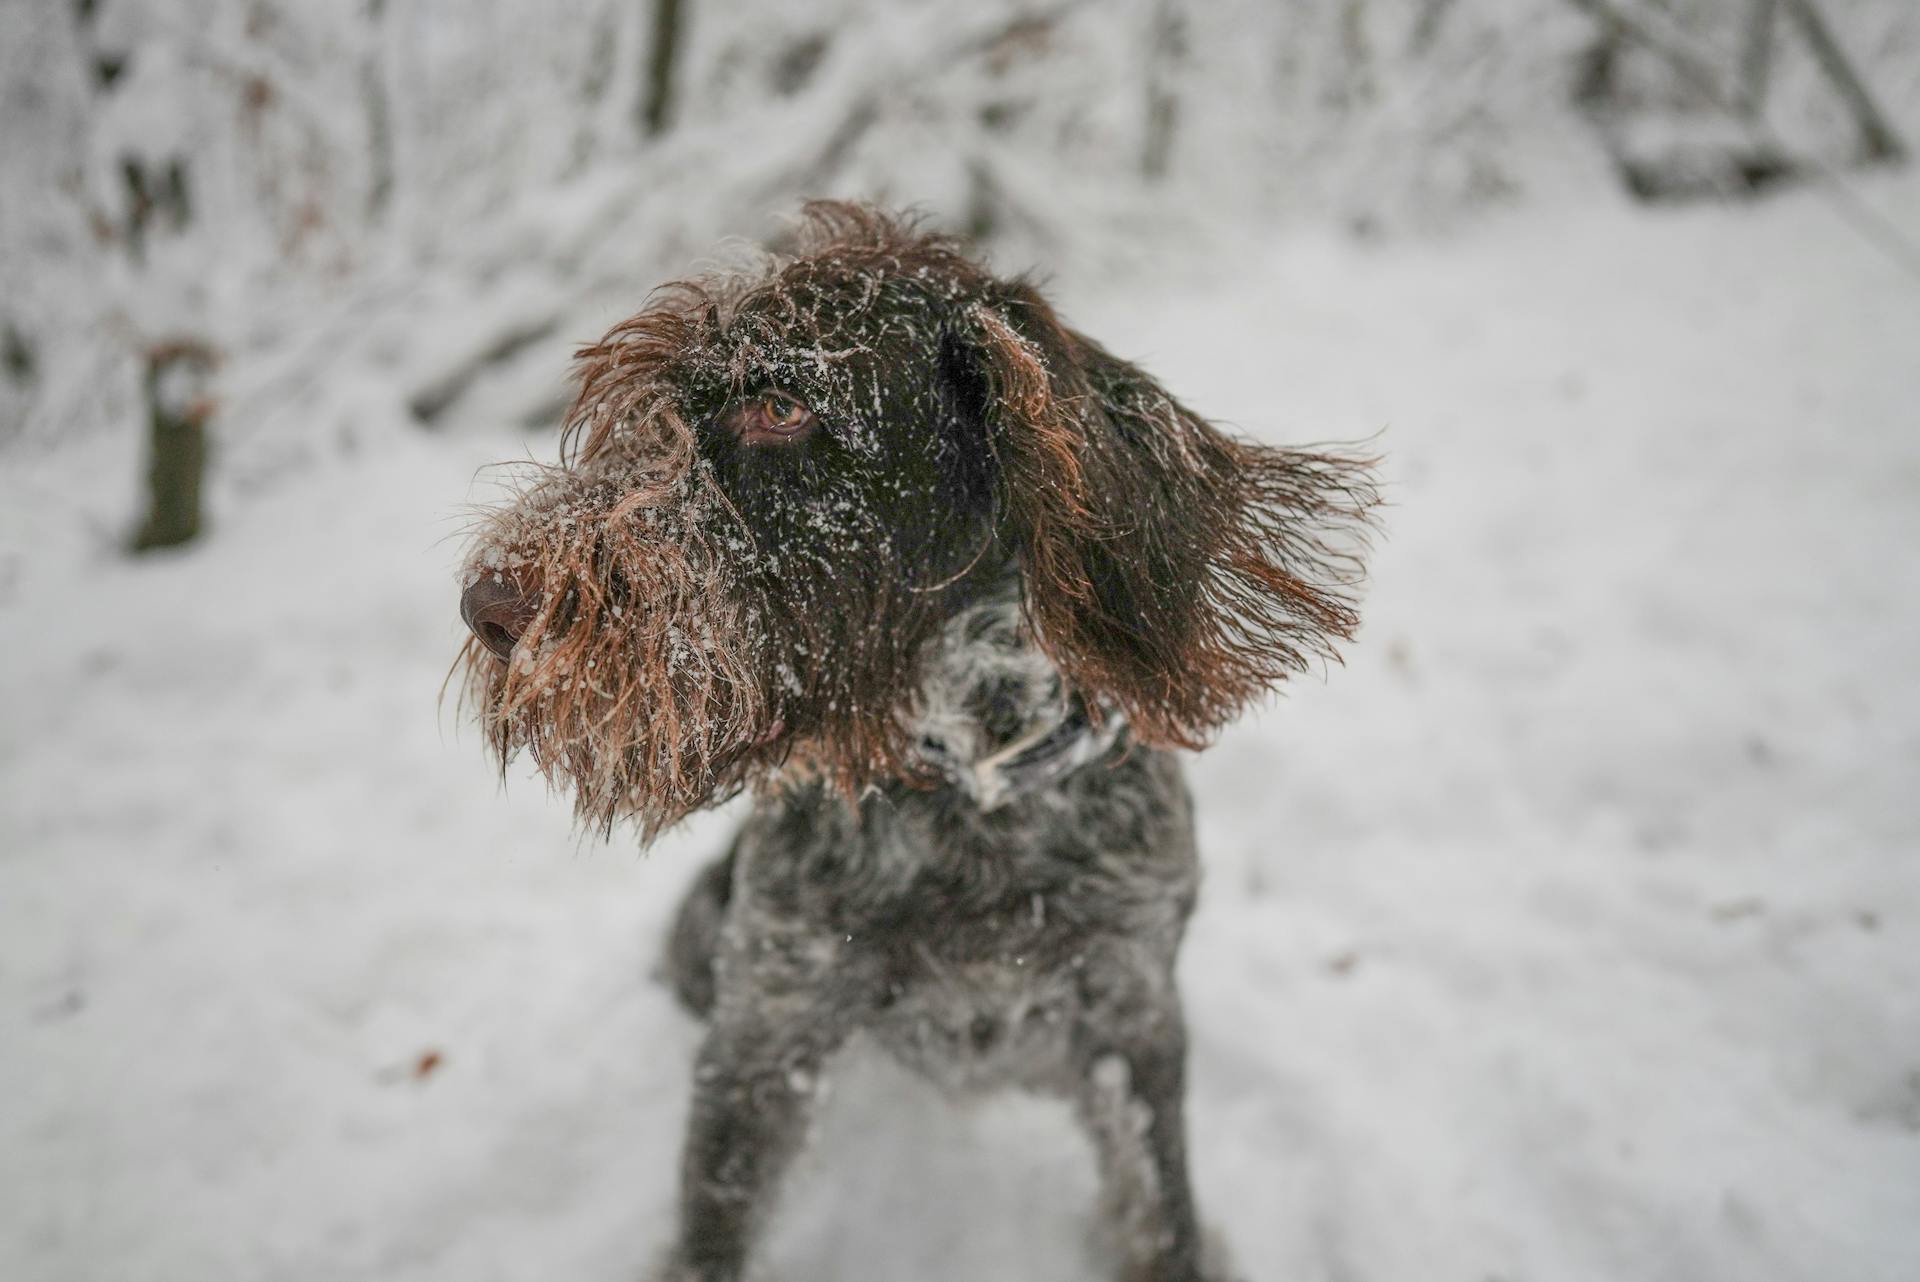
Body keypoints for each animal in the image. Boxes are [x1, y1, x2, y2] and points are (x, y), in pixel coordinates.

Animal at [456, 205, 1374, 1274]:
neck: (970, 783)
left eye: (781, 405)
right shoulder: (765, 1029)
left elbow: (1161, 1210)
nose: (487, 607)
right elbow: (713, 1224)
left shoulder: (1132, 1014)